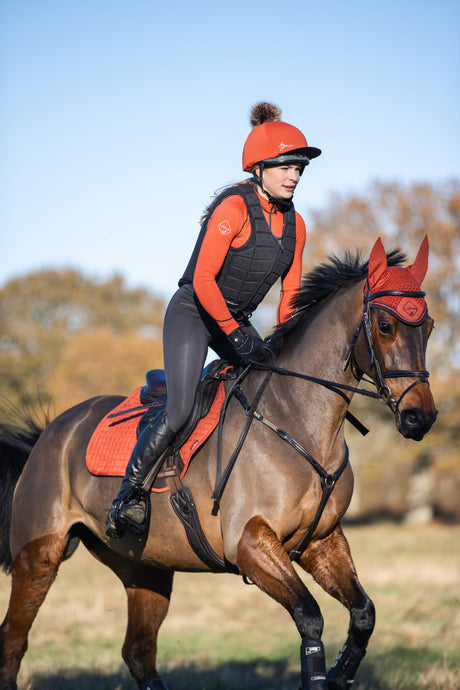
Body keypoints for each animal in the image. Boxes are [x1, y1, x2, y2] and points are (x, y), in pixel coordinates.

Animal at [0, 238, 434, 688]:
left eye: (429, 327)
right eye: (385, 326)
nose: (420, 417)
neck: (295, 419)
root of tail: (51, 430)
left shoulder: (321, 541)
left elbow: (364, 615)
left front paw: (339, 675)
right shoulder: (249, 543)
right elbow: (310, 618)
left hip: (146, 567)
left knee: (138, 651)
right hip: (38, 556)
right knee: (13, 640)